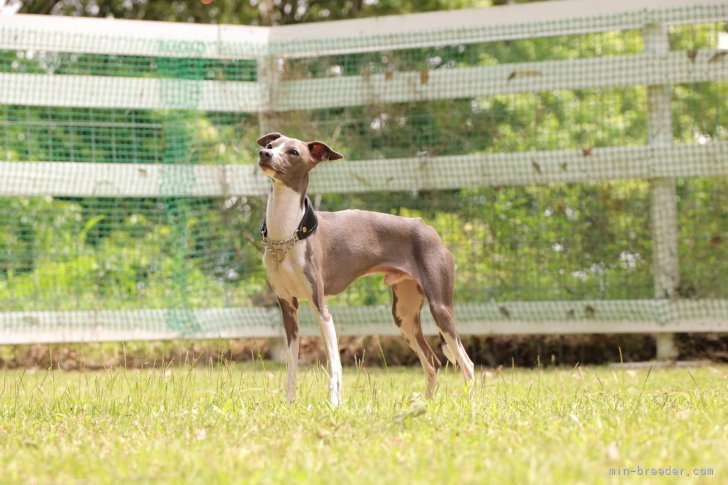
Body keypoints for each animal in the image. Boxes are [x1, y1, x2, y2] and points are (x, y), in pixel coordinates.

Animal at [258, 132, 474, 404]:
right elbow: (291, 367)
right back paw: (426, 403)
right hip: (404, 314)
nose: (264, 155)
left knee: (467, 363)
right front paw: (289, 403)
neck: (288, 233)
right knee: (433, 361)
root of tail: (428, 228)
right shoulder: (288, 307)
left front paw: (335, 404)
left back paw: (469, 403)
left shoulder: (321, 307)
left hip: (440, 307)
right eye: (270, 145)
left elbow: (335, 366)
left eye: (294, 152)